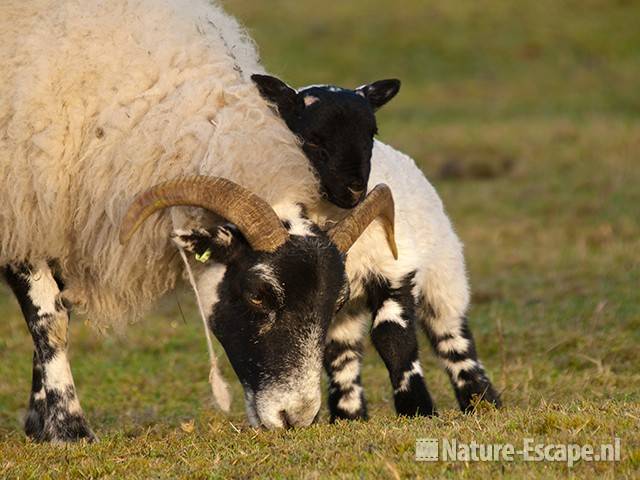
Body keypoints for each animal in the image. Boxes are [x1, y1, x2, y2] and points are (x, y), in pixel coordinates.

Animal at [0, 0, 396, 442]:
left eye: (337, 302)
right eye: (257, 294)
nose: (296, 419)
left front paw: (40, 422)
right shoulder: (22, 209)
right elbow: (50, 320)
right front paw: (68, 428)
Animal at [254, 79, 500, 420]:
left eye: (372, 133)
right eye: (312, 138)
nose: (355, 187)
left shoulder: (395, 269)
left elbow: (392, 336)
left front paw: (417, 407)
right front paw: (348, 417)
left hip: (444, 271)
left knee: (452, 336)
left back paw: (482, 402)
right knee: (343, 350)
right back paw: (349, 413)